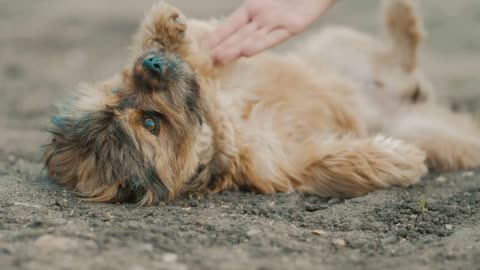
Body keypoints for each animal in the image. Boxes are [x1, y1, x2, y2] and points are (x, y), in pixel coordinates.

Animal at [44, 1, 480, 206]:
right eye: (151, 124)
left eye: (122, 91)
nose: (150, 64)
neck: (222, 126)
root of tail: (412, 97)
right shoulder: (286, 162)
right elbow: (334, 162)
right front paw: (396, 159)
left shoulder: (221, 71)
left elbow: (200, 46)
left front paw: (165, 28)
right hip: (443, 137)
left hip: (332, 43)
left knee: (404, 54)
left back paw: (401, 14)